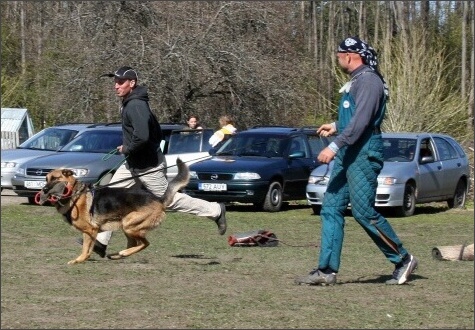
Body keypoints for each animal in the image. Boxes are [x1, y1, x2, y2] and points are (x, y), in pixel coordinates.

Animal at [37, 159, 190, 264]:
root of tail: (159, 199)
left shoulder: (90, 230)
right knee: (135, 244)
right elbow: (89, 248)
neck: (76, 195)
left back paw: (123, 253)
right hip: (126, 227)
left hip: (129, 224)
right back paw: (118, 254)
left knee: (145, 243)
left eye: (55, 178)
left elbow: (86, 249)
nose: (44, 190)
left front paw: (78, 260)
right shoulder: (92, 232)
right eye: (46, 179)